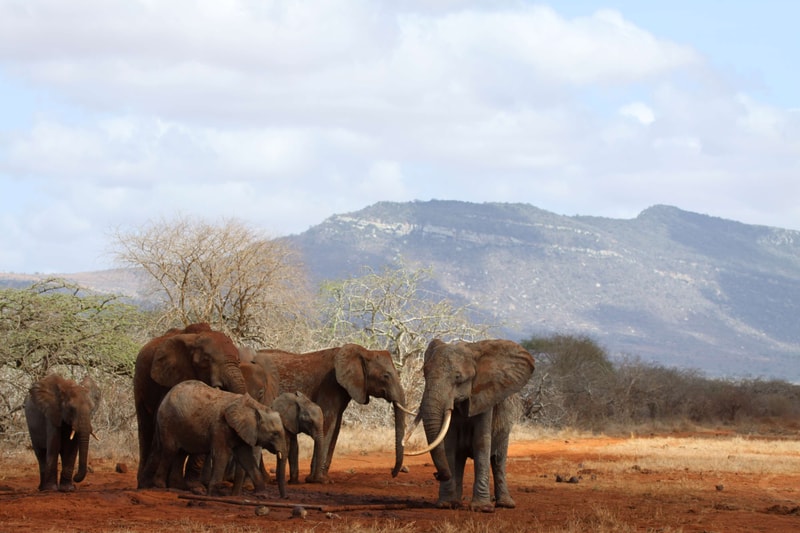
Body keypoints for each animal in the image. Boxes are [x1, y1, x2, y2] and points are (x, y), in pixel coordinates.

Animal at [134, 322, 247, 489]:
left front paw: (195, 488)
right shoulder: (169, 377)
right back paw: (145, 484)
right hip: (140, 381)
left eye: (238, 361)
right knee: (146, 428)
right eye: (206, 361)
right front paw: (152, 485)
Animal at [152, 380, 288, 498]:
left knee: (182, 452)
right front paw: (213, 494)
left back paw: (179, 487)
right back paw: (161, 486)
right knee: (170, 450)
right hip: (167, 421)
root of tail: (167, 395)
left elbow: (246, 458)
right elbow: (222, 455)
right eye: (275, 433)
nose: (284, 497)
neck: (255, 406)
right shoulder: (220, 427)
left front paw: (262, 495)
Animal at [264, 344, 410, 483]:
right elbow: (328, 423)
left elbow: (336, 427)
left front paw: (324, 479)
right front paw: (317, 480)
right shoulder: (330, 385)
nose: (393, 473)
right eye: (386, 376)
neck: (363, 352)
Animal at [405, 339, 534, 512]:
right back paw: (456, 502)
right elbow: (449, 444)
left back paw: (506, 504)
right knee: (460, 459)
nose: (436, 475)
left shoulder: (485, 396)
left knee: (498, 460)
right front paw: (446, 505)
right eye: (424, 373)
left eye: (458, 377)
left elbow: (481, 443)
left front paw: (482, 508)